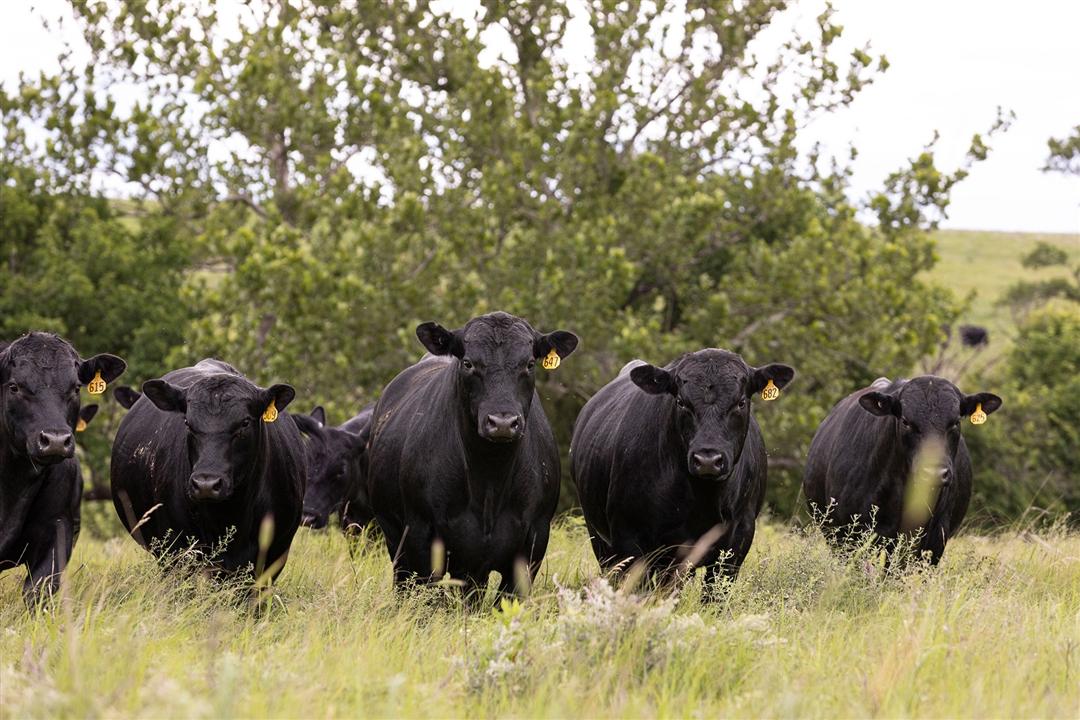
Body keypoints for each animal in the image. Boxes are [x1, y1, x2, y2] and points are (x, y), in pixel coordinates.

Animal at [110, 359, 305, 580]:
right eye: (187, 422)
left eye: (245, 422)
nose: (206, 484)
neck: (229, 515)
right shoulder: (175, 550)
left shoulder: (274, 555)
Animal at [367, 311, 577, 599]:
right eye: (468, 363)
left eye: (529, 364)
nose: (502, 422)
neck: (489, 479)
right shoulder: (421, 535)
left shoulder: (534, 540)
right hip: (394, 536)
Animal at [572, 349, 794, 590]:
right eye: (681, 402)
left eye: (741, 402)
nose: (707, 459)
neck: (702, 500)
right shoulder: (629, 538)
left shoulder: (737, 541)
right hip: (599, 537)